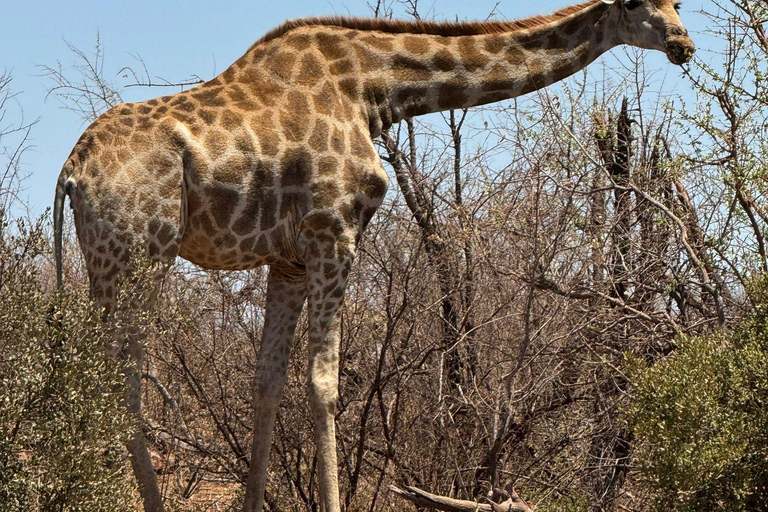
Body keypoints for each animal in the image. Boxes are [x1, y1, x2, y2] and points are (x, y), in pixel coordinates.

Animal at [51, 1, 692, 512]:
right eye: (634, 3)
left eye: (678, 1)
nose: (683, 45)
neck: (373, 90)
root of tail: (72, 171)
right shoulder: (333, 234)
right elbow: (324, 385)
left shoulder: (288, 259)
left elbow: (268, 383)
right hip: (141, 256)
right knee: (116, 383)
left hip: (104, 264)